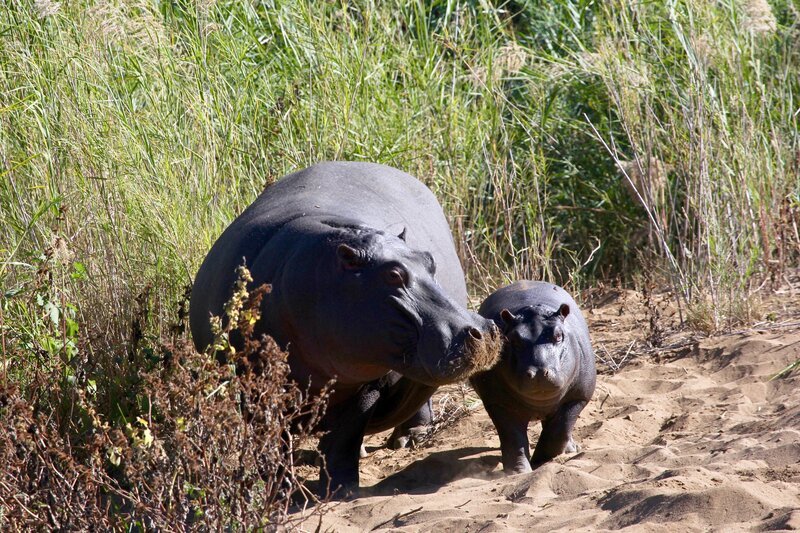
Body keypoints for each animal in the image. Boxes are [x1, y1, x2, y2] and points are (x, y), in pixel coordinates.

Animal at [190, 161, 501, 494]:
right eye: (393, 274)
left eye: (429, 261)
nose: (482, 329)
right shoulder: (255, 385)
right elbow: (273, 439)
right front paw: (279, 489)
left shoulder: (366, 384)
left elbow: (346, 435)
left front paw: (341, 489)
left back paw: (408, 439)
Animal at [470, 281, 596, 474]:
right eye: (513, 339)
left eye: (559, 335)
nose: (538, 372)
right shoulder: (498, 403)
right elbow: (513, 437)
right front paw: (518, 472)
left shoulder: (578, 398)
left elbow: (559, 430)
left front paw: (541, 461)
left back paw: (570, 449)